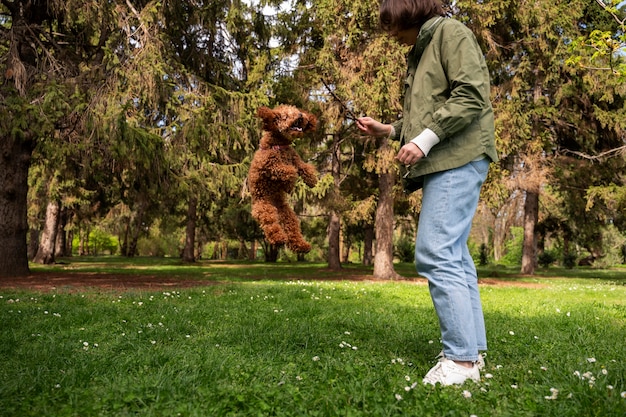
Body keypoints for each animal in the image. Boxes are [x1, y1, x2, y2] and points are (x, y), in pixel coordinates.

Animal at [247, 105, 316, 252]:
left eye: (297, 112)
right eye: (285, 116)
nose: (300, 115)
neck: (280, 146)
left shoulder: (295, 159)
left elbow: (303, 167)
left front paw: (312, 180)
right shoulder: (269, 166)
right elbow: (290, 171)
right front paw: (289, 185)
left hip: (286, 212)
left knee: (292, 228)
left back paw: (302, 245)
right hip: (264, 207)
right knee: (270, 224)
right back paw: (278, 238)